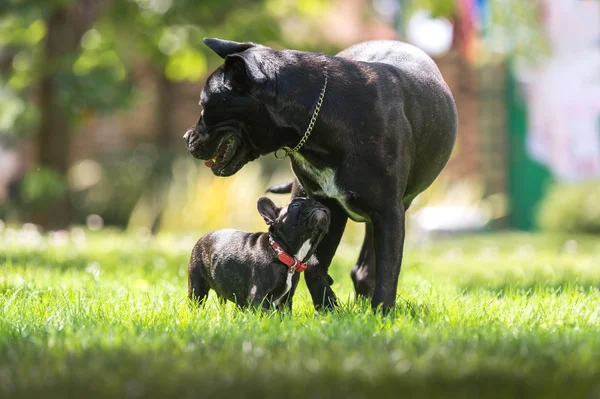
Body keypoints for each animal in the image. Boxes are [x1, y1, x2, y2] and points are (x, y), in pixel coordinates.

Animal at [188, 197, 330, 312]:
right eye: (295, 206)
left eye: (316, 201)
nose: (317, 203)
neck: (280, 252)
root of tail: (202, 238)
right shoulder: (258, 296)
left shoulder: (285, 302)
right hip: (197, 288)